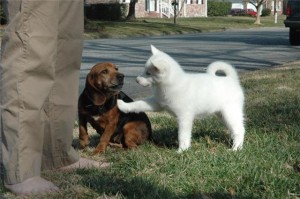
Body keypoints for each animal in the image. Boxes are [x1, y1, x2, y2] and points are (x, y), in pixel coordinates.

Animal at [116, 45, 245, 152]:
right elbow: (139, 104)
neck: (170, 85)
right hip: (222, 114)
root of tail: (231, 79)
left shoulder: (184, 118)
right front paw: (123, 105)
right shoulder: (157, 103)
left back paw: (236, 148)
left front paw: (182, 150)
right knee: (234, 129)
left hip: (230, 112)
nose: (136, 80)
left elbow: (183, 135)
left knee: (240, 129)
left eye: (148, 73)